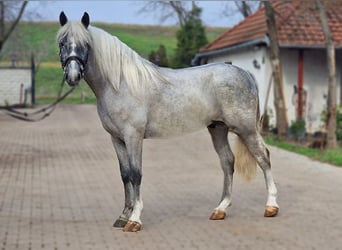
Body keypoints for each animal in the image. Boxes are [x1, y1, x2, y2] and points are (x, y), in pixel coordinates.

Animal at [57, 11, 280, 230]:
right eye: (62, 43)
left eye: (86, 44)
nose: (73, 76)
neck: (120, 84)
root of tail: (245, 73)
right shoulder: (116, 138)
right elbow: (125, 174)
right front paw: (123, 216)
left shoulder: (133, 136)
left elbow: (136, 174)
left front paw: (134, 219)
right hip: (218, 129)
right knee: (228, 162)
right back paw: (220, 209)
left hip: (246, 129)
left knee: (263, 157)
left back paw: (271, 206)